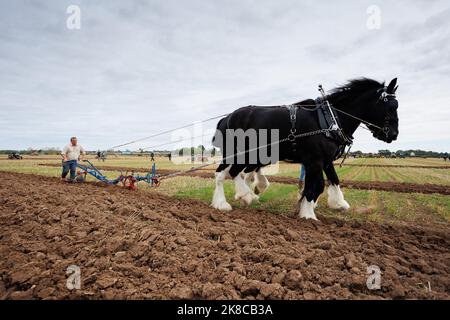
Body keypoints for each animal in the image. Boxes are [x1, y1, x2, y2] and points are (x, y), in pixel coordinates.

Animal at [213, 79, 400, 221]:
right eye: (392, 106)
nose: (394, 134)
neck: (330, 119)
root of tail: (226, 118)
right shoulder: (314, 161)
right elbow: (315, 186)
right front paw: (308, 214)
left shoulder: (325, 160)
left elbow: (332, 180)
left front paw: (338, 203)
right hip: (237, 153)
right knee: (224, 173)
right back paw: (227, 202)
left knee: (238, 172)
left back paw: (246, 196)